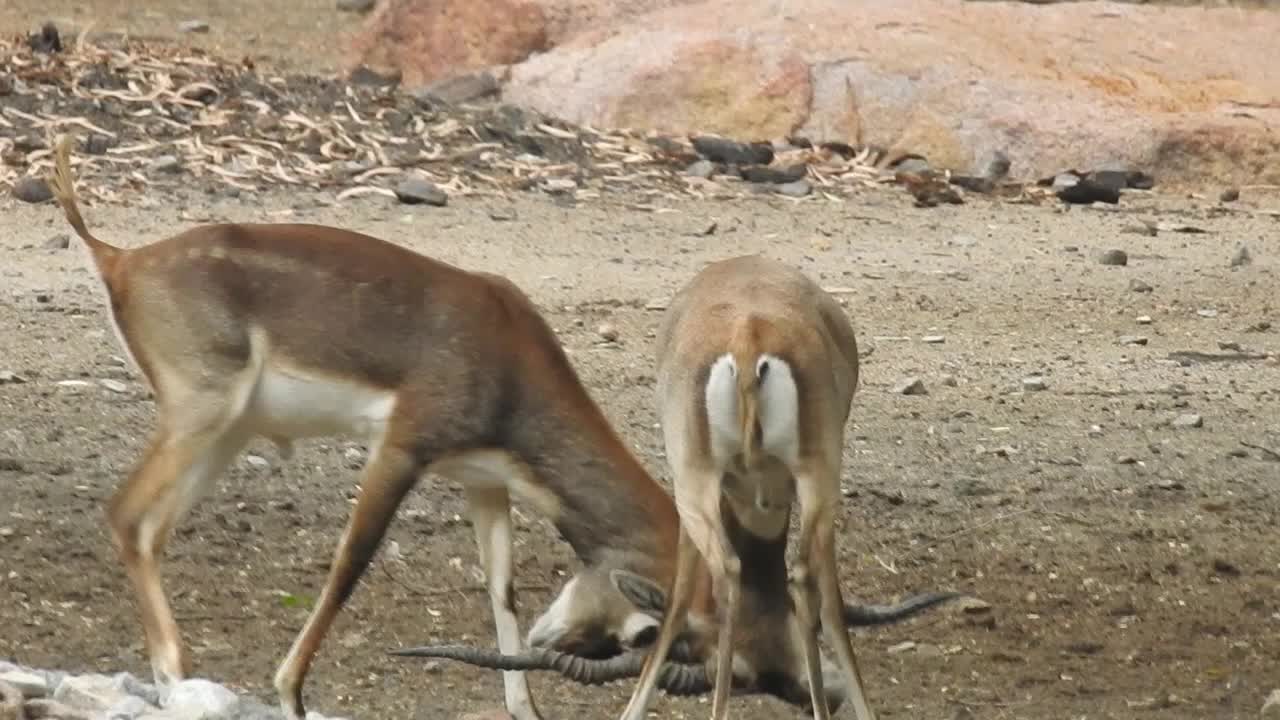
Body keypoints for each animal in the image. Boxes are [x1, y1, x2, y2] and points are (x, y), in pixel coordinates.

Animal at [614, 254, 885, 717]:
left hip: (699, 485)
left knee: (736, 574)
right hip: (814, 482)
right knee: (804, 583)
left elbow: (678, 597)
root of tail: (747, 334)